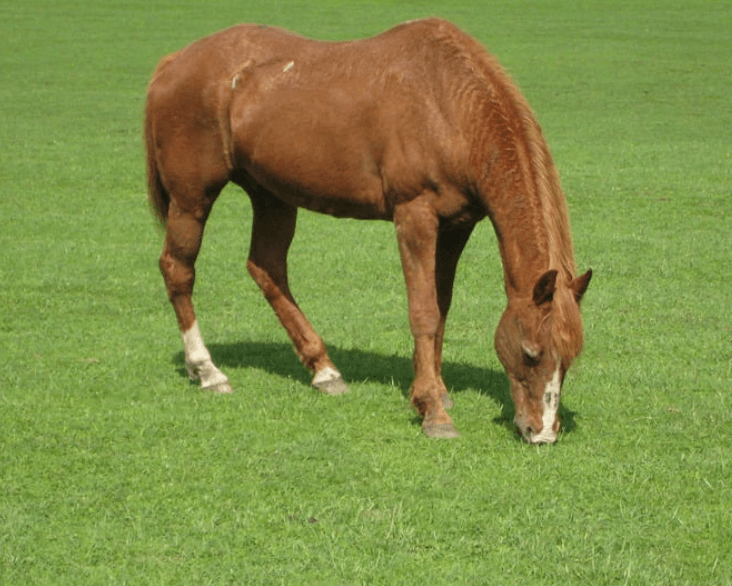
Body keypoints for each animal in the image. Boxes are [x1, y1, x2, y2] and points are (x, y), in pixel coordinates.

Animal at [145, 18, 592, 443]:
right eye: (531, 353)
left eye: (569, 358)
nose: (542, 433)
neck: (447, 103)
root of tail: (173, 62)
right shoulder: (414, 216)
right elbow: (423, 312)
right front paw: (433, 411)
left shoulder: (456, 227)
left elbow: (442, 305)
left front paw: (437, 388)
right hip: (192, 199)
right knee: (178, 270)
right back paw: (207, 371)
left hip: (272, 196)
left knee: (266, 268)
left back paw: (324, 370)